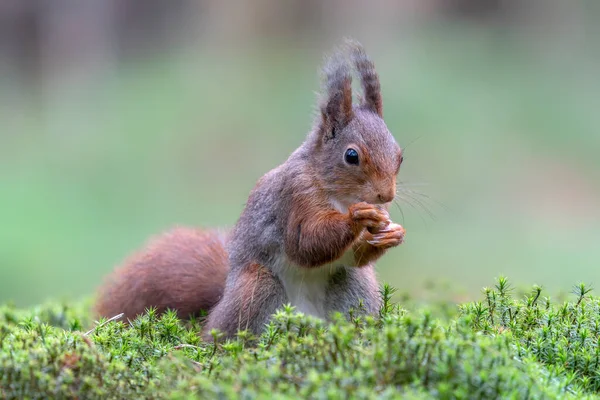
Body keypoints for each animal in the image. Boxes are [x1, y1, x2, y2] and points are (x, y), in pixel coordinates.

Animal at [96, 40, 406, 340]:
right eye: (351, 156)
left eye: (400, 156)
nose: (386, 195)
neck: (340, 195)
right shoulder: (294, 195)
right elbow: (305, 243)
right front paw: (357, 217)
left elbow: (357, 255)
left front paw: (392, 234)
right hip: (257, 288)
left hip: (353, 287)